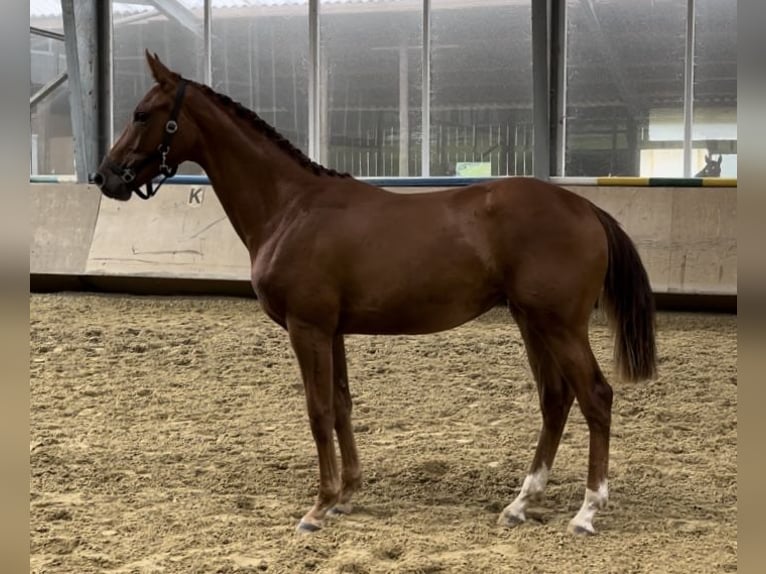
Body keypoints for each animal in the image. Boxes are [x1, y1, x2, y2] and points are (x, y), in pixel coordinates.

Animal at [93, 53, 656, 536]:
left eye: (142, 114)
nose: (105, 176)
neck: (291, 208)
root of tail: (585, 208)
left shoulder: (307, 328)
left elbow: (318, 410)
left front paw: (318, 506)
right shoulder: (333, 331)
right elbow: (342, 405)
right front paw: (346, 494)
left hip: (559, 326)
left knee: (595, 397)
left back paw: (586, 511)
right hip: (531, 322)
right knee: (556, 399)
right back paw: (521, 503)